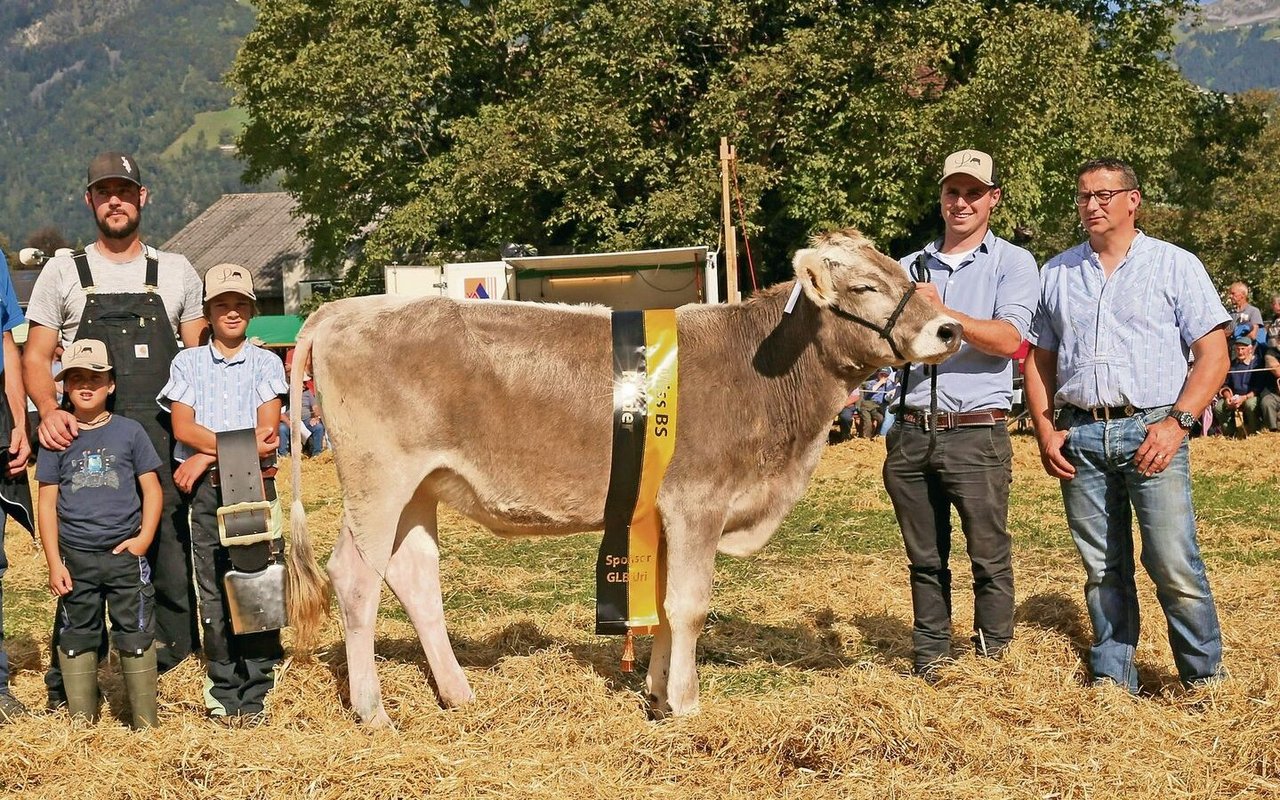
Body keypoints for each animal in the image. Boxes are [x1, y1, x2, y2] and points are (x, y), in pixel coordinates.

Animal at [282, 227, 962, 727]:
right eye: (866, 285)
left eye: (907, 273)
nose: (949, 328)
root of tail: (345, 308)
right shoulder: (697, 502)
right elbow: (689, 606)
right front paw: (686, 704)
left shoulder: (659, 510)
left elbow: (659, 606)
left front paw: (658, 694)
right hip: (378, 480)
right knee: (355, 577)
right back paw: (373, 712)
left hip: (421, 487)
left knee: (414, 575)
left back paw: (458, 694)